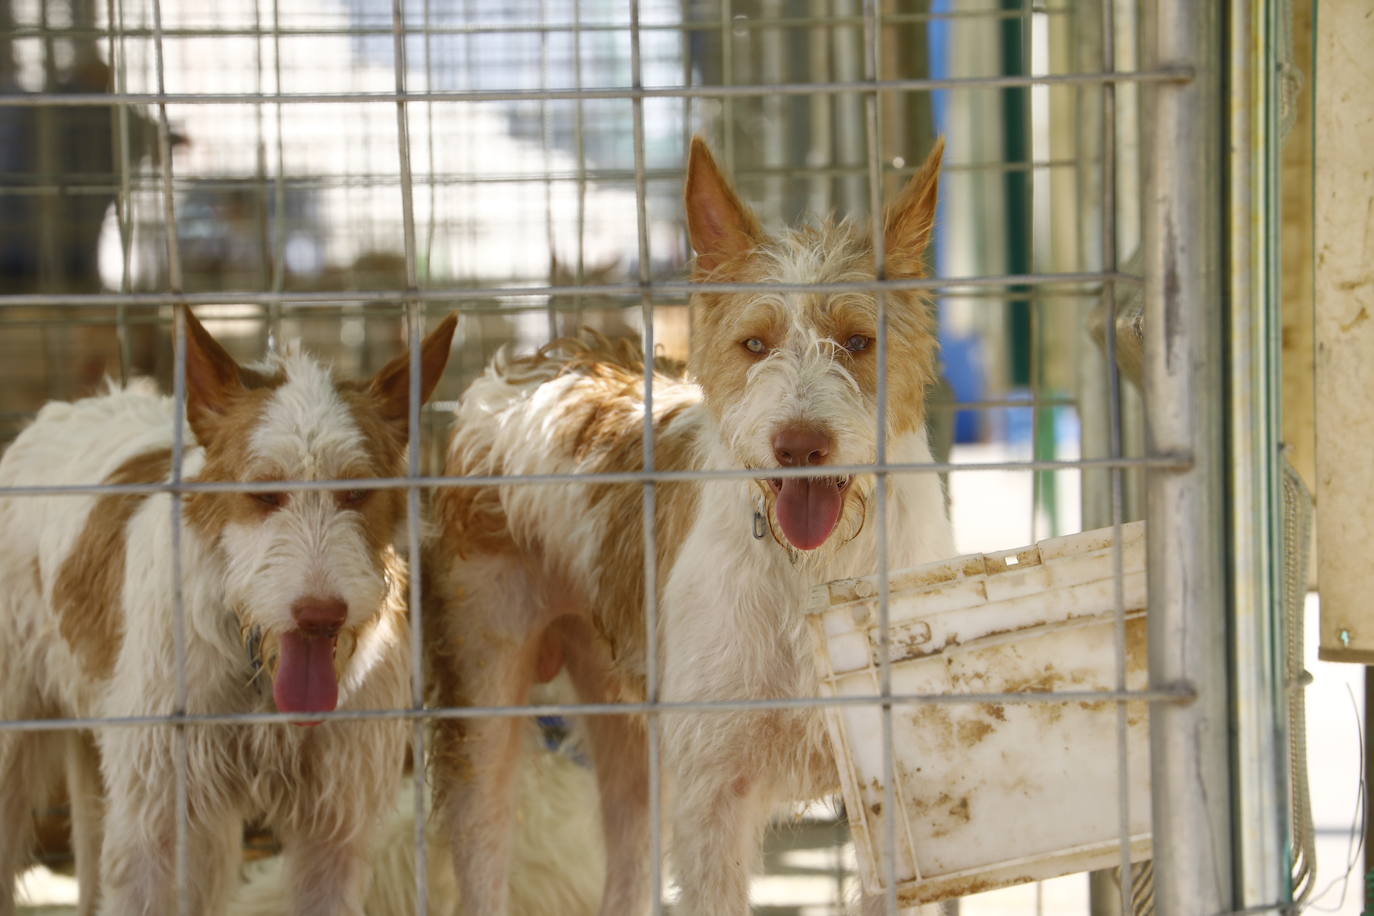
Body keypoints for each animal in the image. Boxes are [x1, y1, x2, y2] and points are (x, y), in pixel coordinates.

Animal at [0, 310, 461, 916]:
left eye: (356, 492)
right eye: (264, 494)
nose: (320, 616)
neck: (257, 673)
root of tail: (64, 411)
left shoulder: (333, 834)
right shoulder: (151, 824)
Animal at [425, 138, 956, 916]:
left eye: (858, 341)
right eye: (755, 344)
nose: (799, 446)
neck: (814, 567)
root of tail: (532, 367)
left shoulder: (897, 798)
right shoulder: (713, 799)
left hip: (630, 741)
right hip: (485, 714)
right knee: (483, 853)